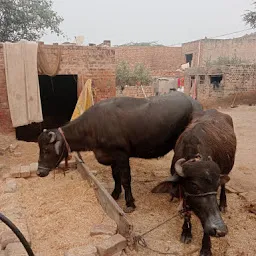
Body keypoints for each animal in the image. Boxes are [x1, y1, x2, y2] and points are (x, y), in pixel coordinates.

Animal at [37, 91, 202, 212]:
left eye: (46, 150)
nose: (39, 172)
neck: (94, 126)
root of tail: (193, 102)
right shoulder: (111, 156)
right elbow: (115, 176)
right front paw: (115, 194)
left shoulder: (121, 155)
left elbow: (125, 179)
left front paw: (130, 203)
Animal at [151, 109, 237, 256]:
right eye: (194, 185)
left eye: (215, 185)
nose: (220, 230)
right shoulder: (184, 192)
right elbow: (187, 212)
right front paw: (186, 232)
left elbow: (205, 222)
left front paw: (206, 247)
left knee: (224, 186)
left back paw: (223, 204)